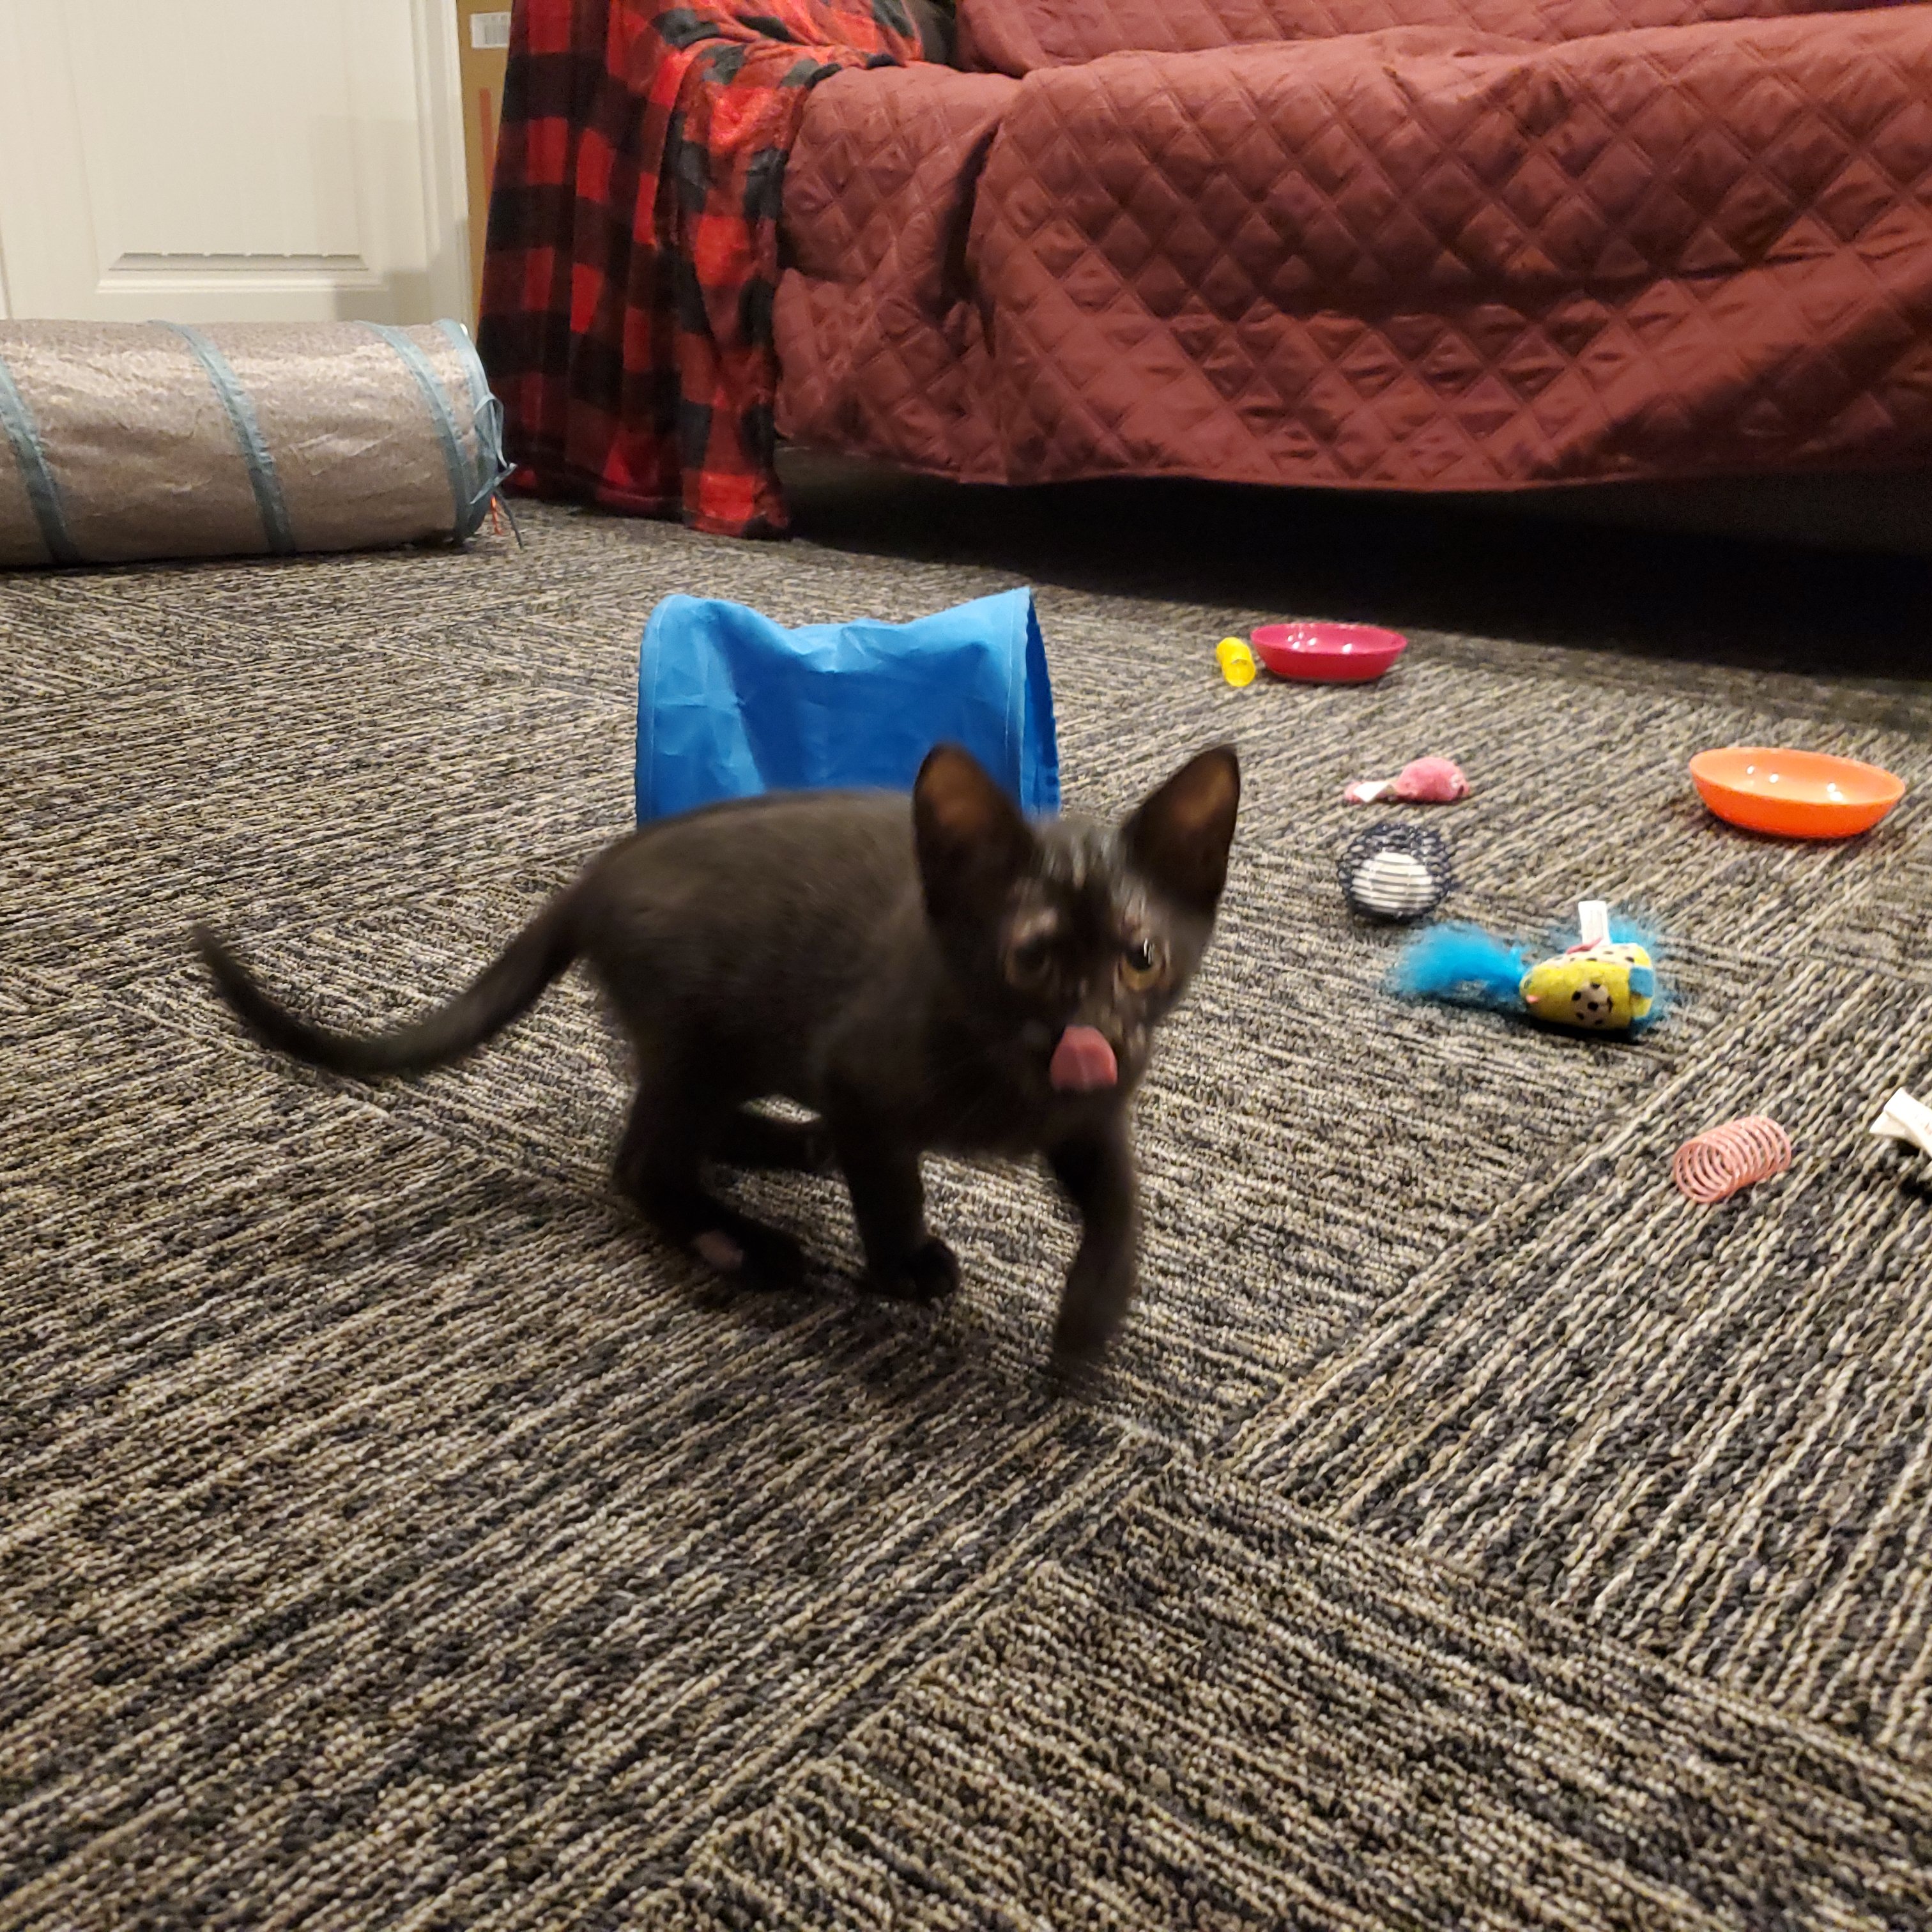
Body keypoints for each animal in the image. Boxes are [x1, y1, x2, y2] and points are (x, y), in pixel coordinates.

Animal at [194, 741, 1240, 1364]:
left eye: (1143, 958)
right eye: (1031, 958)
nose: (1093, 1035)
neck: (1012, 1075)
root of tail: (596, 874)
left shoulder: (1097, 1111)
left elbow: (1121, 1202)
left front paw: (1091, 1319)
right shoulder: (860, 1077)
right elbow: (893, 1186)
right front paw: (904, 1267)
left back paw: (788, 1147)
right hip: (702, 1033)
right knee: (643, 1158)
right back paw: (743, 1242)